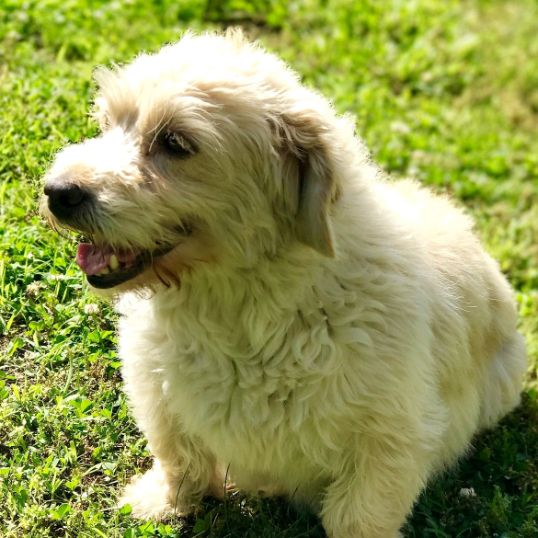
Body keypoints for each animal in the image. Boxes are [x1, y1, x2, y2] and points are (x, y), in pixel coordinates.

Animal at [40, 30, 524, 536]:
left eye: (175, 142)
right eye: (107, 122)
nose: (58, 191)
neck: (238, 307)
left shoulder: (392, 440)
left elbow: (358, 515)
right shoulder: (160, 395)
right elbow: (179, 458)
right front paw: (165, 502)